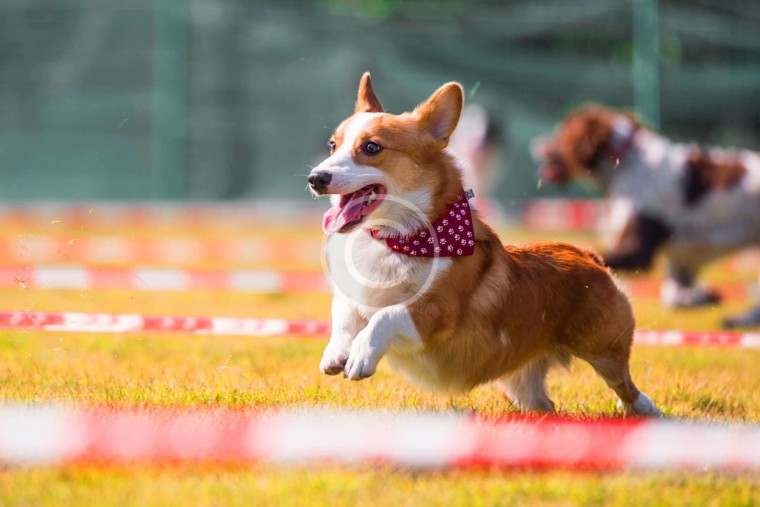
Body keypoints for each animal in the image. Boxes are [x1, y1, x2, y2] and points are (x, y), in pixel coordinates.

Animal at [308, 75, 660, 416]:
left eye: (371, 147)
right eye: (332, 146)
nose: (316, 178)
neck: (397, 238)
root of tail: (587, 255)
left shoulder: (436, 311)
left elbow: (385, 316)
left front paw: (360, 356)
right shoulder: (352, 297)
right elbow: (344, 316)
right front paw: (336, 354)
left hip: (603, 350)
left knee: (624, 383)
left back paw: (643, 409)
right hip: (520, 385)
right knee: (542, 403)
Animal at [536, 106, 760, 328]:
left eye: (562, 134)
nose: (538, 146)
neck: (627, 163)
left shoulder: (638, 247)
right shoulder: (679, 259)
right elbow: (673, 296)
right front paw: (703, 297)